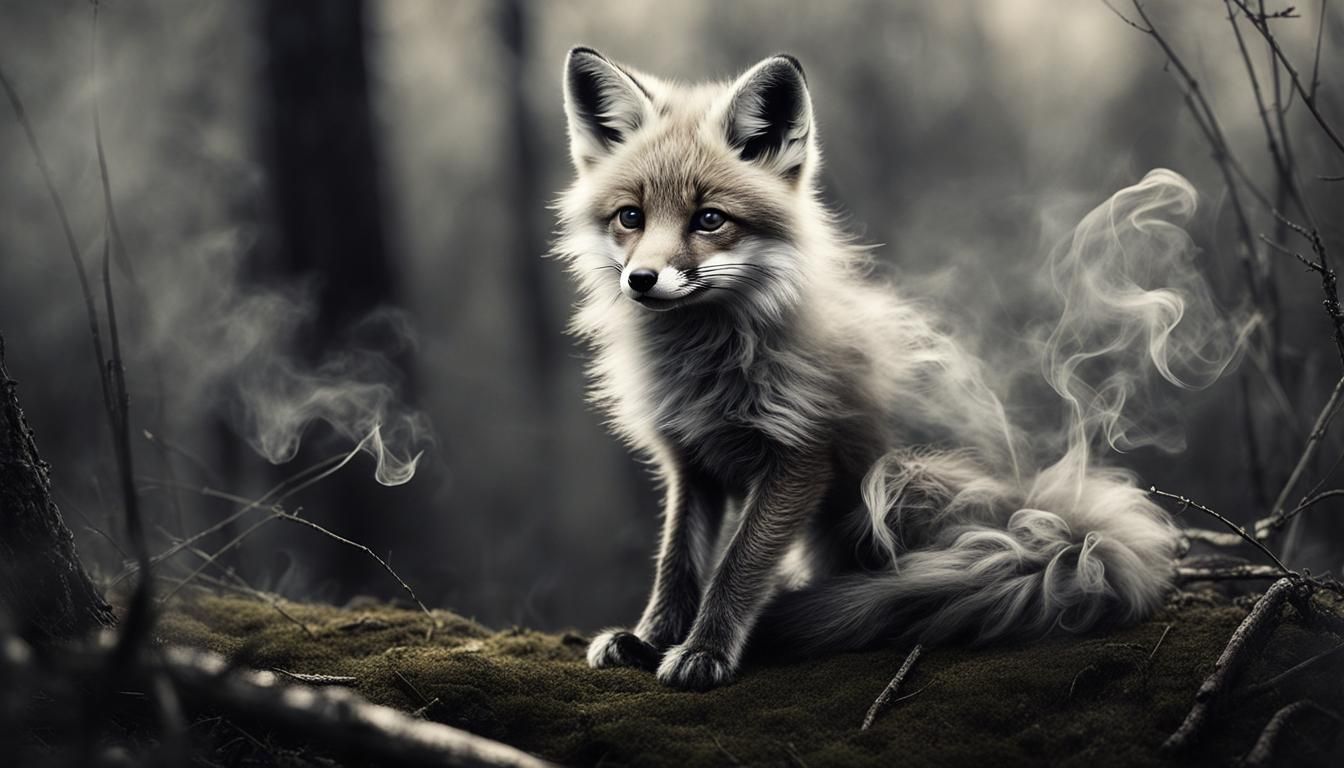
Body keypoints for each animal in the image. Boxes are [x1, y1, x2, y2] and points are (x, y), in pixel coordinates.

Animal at [552, 48, 1183, 691]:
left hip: (898, 479)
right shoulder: (691, 461)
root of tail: (1049, 517)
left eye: (709, 219)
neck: (705, 362)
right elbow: (678, 563)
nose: (641, 280)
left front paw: (705, 650)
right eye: (630, 217)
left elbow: (737, 566)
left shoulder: (800, 457)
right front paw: (651, 639)